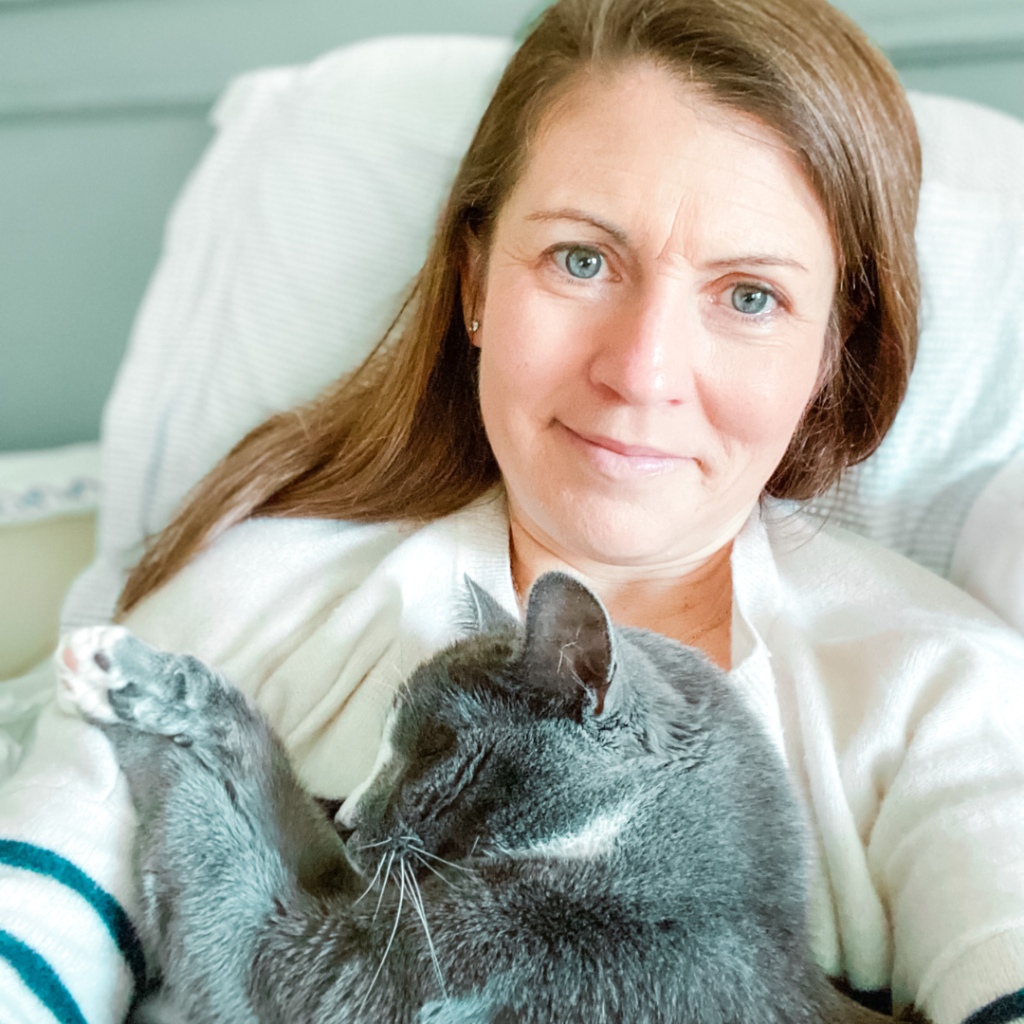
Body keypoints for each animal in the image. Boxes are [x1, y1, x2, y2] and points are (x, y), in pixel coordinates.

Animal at [61, 573, 897, 1019]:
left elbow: (223, 853)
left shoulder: (327, 973)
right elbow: (276, 800)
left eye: (435, 748)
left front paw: (113, 673)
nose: (354, 819)